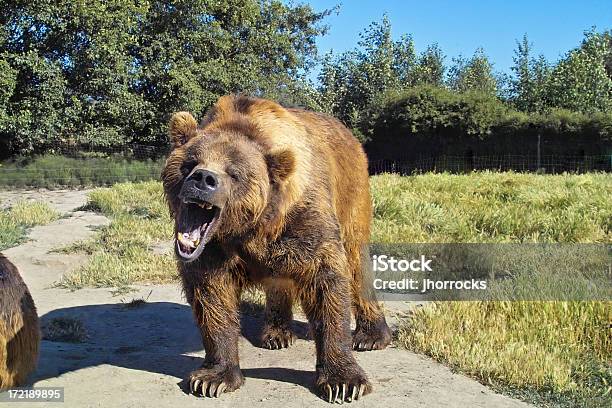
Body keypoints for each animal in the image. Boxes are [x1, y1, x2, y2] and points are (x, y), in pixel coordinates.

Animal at [163, 95, 392, 402]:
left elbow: (326, 283)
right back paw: (276, 333)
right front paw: (213, 378)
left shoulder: (305, 220)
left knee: (357, 261)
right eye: (190, 162)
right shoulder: (213, 251)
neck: (254, 226)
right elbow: (213, 297)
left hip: (352, 193)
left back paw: (371, 336)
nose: (203, 179)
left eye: (234, 173)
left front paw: (344, 380)